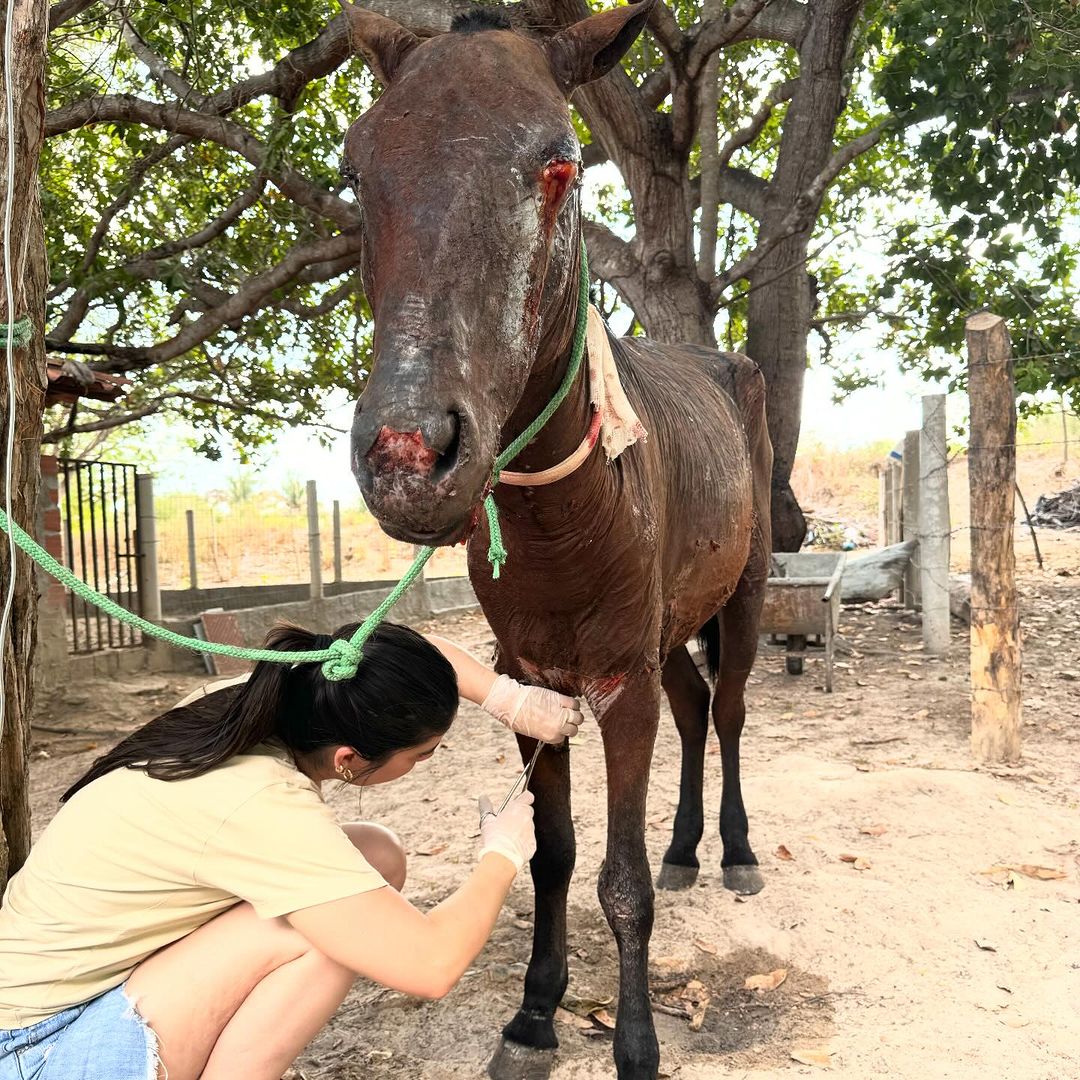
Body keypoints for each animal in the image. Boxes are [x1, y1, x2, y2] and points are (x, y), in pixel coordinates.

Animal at [341, 4, 773, 1075]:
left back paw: (736, 851)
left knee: (729, 709)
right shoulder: (534, 683)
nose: (409, 454)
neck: (567, 522)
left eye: (562, 165)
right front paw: (535, 1015)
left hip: (744, 591)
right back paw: (687, 846)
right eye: (357, 168)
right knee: (695, 707)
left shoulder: (619, 684)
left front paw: (636, 1046)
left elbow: (620, 881)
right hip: (669, 631)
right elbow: (554, 856)